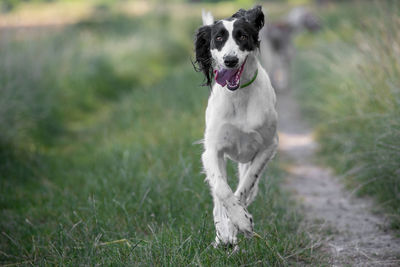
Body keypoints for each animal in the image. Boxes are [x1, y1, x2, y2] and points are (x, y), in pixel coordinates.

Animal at [194, 5, 278, 249]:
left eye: (242, 36)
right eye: (218, 38)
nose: (230, 60)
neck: (240, 96)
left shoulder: (268, 146)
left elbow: (245, 186)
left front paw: (240, 222)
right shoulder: (211, 151)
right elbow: (223, 190)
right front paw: (232, 225)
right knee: (217, 197)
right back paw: (222, 235)